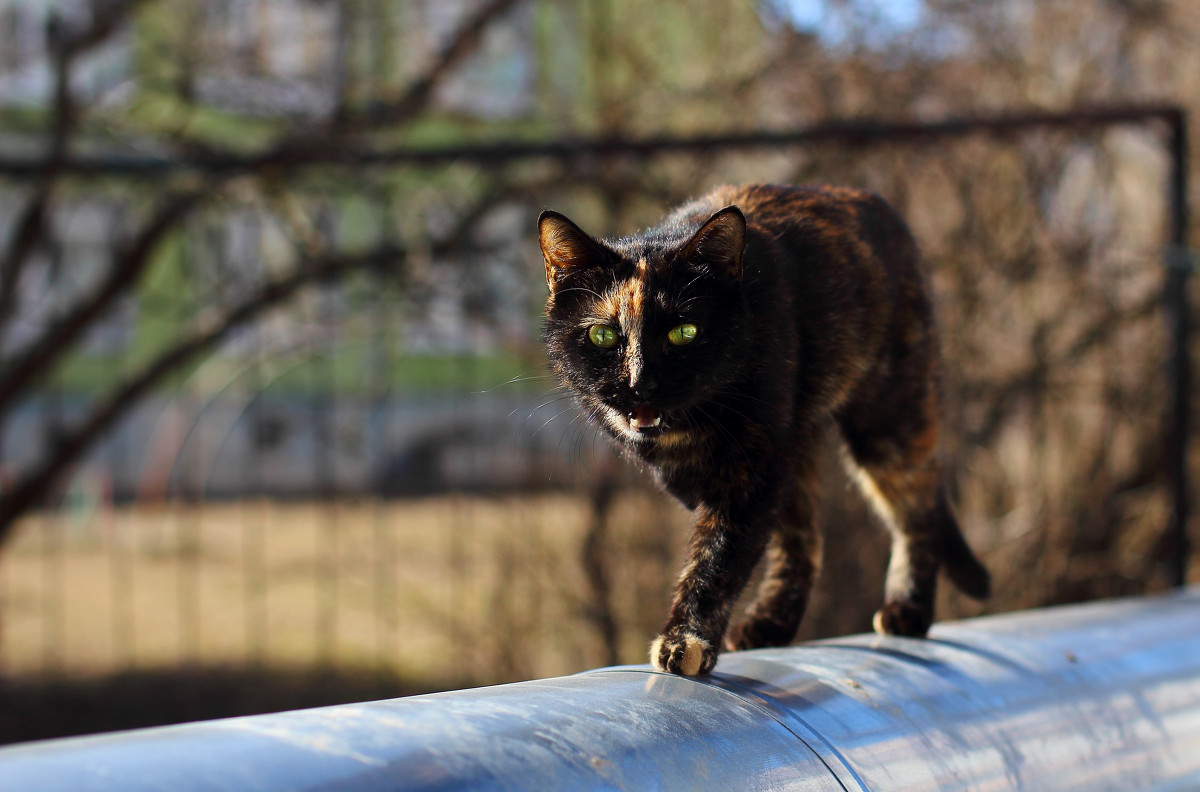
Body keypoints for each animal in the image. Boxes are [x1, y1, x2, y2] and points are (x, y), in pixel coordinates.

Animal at [540, 183, 988, 676]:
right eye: (603, 335)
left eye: (684, 332)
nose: (641, 385)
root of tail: (871, 200)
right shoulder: (749, 469)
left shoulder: (752, 472)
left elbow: (717, 560)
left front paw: (686, 639)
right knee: (804, 539)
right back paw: (771, 624)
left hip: (889, 419)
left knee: (916, 508)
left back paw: (909, 610)